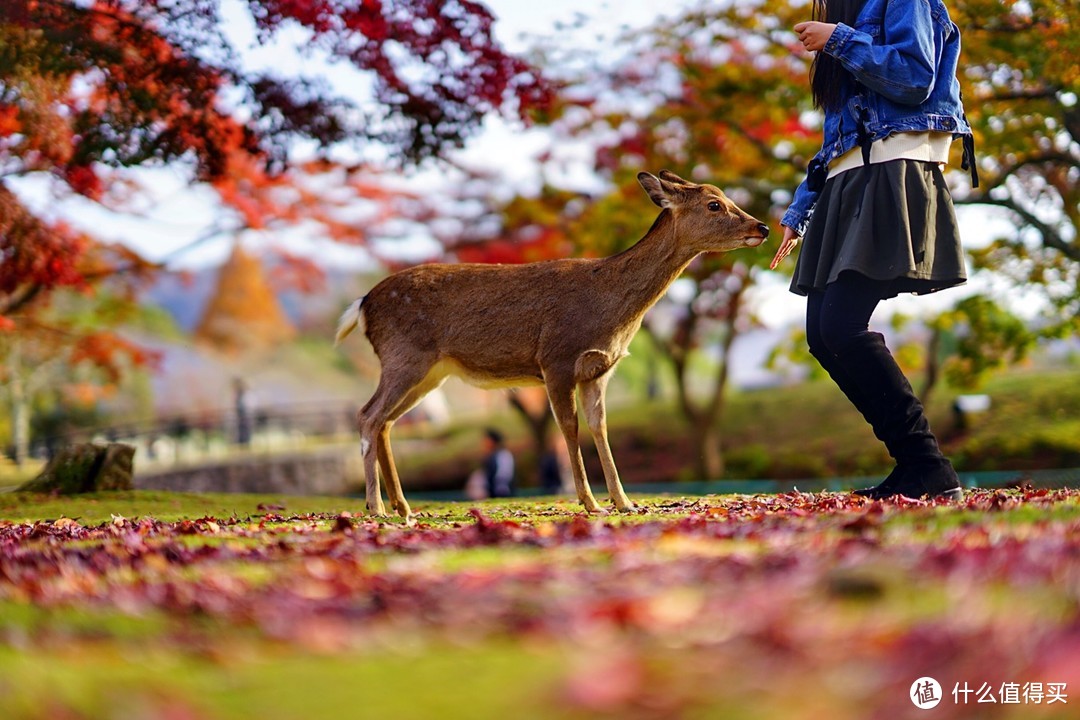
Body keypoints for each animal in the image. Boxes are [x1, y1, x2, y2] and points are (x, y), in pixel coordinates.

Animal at [336, 169, 768, 518]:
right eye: (715, 204)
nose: (762, 227)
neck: (611, 307)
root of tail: (363, 304)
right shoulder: (556, 358)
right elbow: (570, 428)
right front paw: (591, 503)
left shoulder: (599, 369)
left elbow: (600, 427)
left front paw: (625, 502)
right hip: (404, 355)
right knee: (368, 415)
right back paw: (376, 508)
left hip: (431, 371)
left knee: (387, 421)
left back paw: (403, 505)